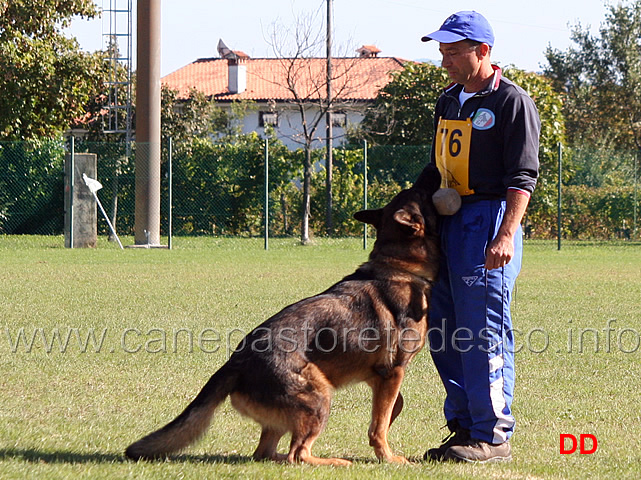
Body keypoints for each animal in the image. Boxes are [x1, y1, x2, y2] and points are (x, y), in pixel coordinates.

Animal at [127, 164, 442, 464]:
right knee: (298, 453)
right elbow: (379, 424)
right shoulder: (393, 372)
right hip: (320, 395)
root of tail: (235, 363)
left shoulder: (382, 377)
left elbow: (391, 409)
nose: (432, 167)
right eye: (420, 191)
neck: (400, 266)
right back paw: (334, 461)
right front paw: (387, 457)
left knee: (265, 452)